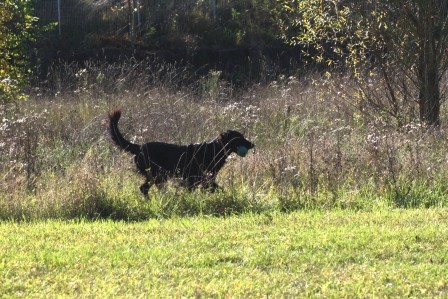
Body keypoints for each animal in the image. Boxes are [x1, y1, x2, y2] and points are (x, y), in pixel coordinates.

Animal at [108, 111, 254, 198]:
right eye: (239, 138)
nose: (252, 144)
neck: (214, 150)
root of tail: (139, 146)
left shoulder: (205, 179)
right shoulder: (195, 178)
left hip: (158, 175)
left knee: (145, 188)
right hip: (157, 174)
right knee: (145, 188)